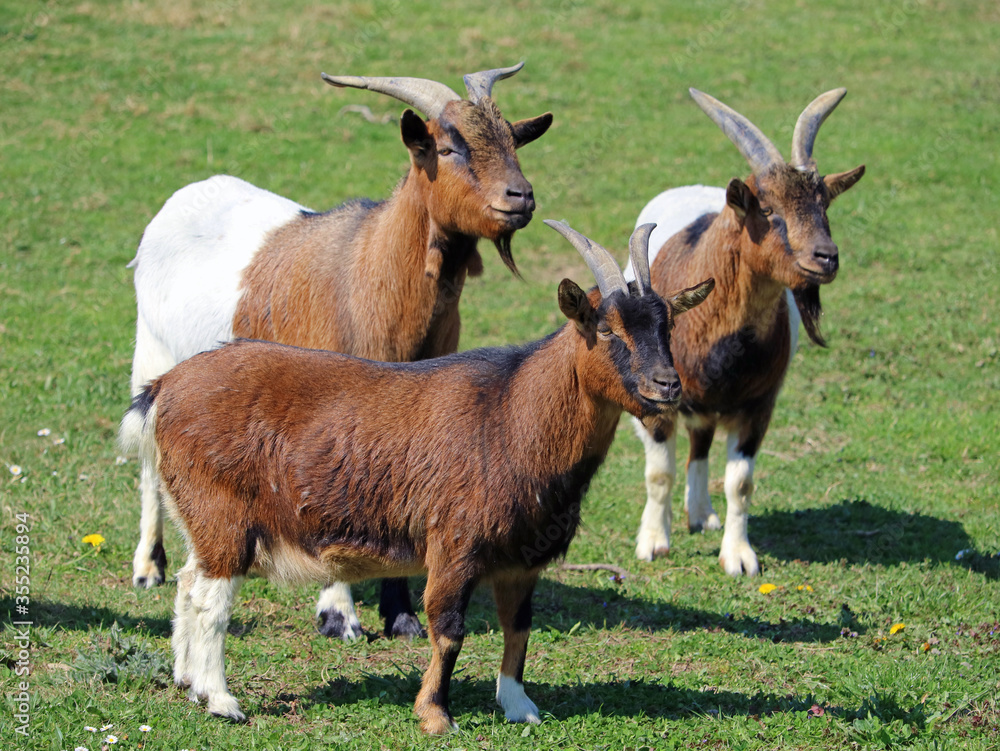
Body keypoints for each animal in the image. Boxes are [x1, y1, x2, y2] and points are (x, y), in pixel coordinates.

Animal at [121, 219, 716, 736]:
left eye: (667, 325)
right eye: (606, 329)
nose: (667, 384)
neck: (510, 414)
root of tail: (165, 387)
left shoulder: (521, 557)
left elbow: (518, 626)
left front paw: (519, 705)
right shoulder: (454, 544)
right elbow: (448, 629)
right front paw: (435, 714)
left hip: (199, 517)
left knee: (188, 583)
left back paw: (188, 682)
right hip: (222, 513)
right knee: (211, 601)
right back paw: (221, 700)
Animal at [123, 63, 556, 640]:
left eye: (513, 139)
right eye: (447, 148)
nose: (520, 196)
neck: (372, 271)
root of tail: (183, 198)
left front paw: (400, 613)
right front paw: (339, 615)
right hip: (152, 354)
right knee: (149, 464)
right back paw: (149, 565)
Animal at [632, 91, 868, 580]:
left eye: (824, 207)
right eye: (769, 210)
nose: (827, 256)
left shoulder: (759, 405)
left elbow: (741, 484)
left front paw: (738, 556)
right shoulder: (657, 400)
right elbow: (659, 474)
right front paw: (653, 543)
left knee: (700, 445)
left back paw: (702, 514)